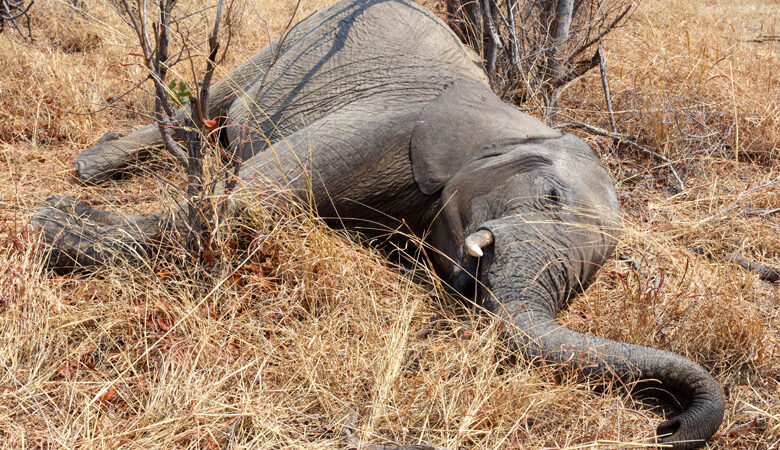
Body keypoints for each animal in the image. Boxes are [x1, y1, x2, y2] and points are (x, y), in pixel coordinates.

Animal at [29, 1, 724, 448]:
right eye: (550, 197)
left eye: (585, 283)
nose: (666, 426)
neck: (514, 123)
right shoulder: (393, 125)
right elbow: (251, 199)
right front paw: (52, 226)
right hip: (297, 38)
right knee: (209, 104)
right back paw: (90, 168)